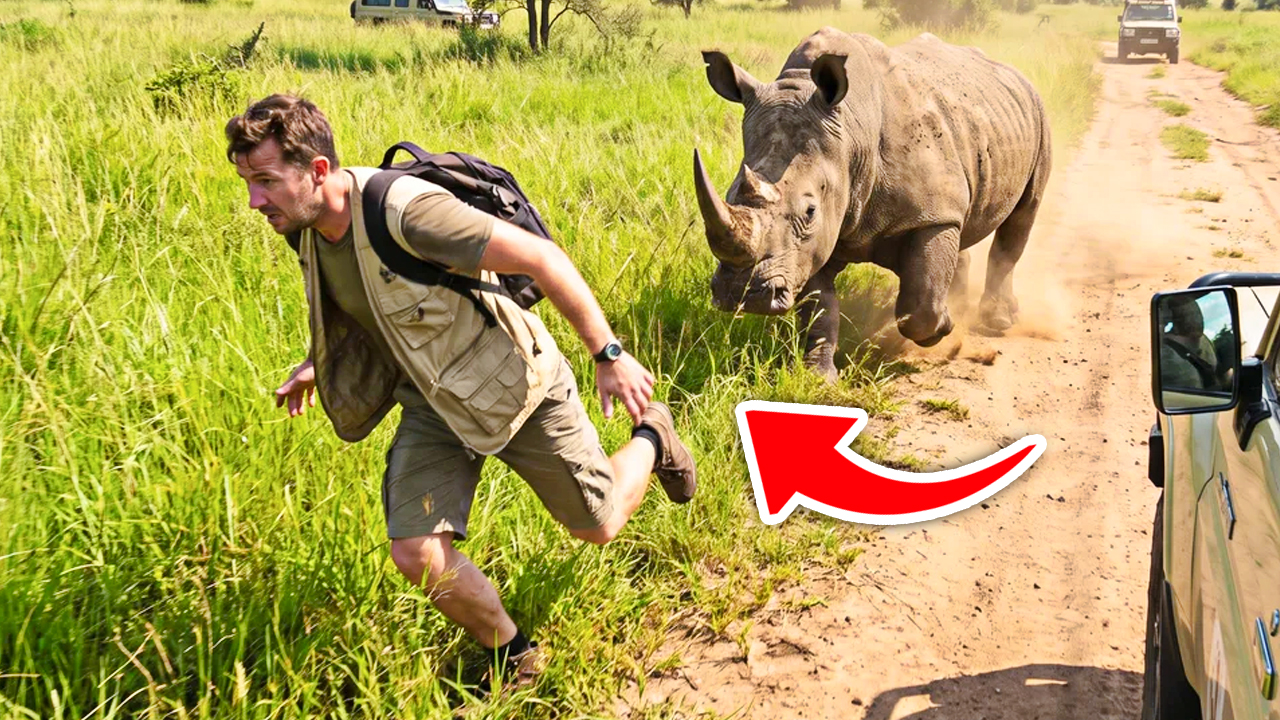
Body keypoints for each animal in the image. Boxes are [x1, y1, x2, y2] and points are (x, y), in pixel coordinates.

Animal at [695, 27, 1052, 380]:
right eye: (730, 196)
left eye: (809, 211)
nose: (742, 295)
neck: (852, 135)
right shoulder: (814, 241)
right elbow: (819, 309)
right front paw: (818, 377)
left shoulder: (928, 216)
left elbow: (919, 306)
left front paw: (945, 327)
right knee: (962, 228)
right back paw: (960, 302)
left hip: (1037, 114)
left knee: (1021, 218)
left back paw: (997, 321)